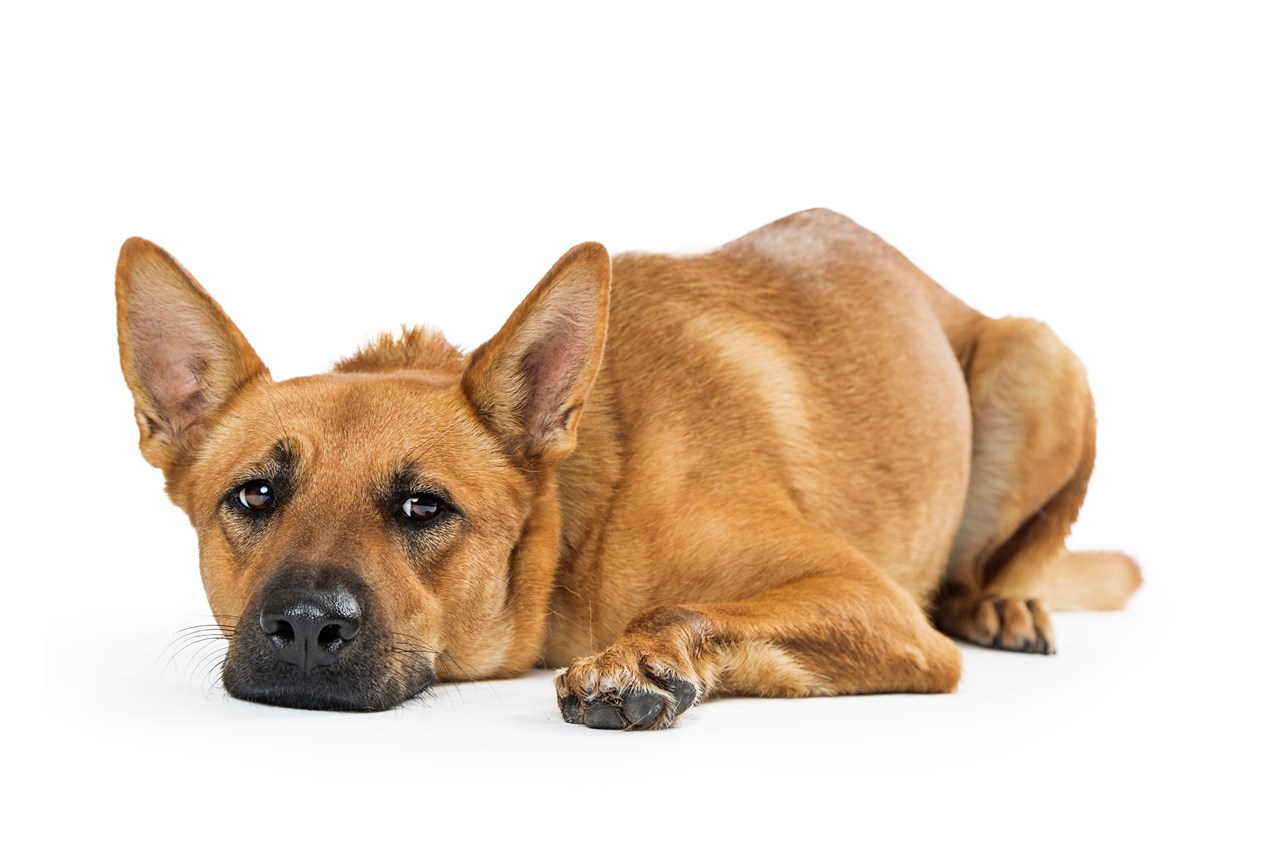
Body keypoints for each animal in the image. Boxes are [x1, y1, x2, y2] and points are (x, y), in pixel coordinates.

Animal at [117, 208, 1141, 727]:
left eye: (422, 507)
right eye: (255, 493)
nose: (301, 626)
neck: (574, 525)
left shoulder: (878, 603)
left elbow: (685, 607)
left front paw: (639, 656)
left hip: (1038, 359)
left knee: (1009, 559)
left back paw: (1004, 602)